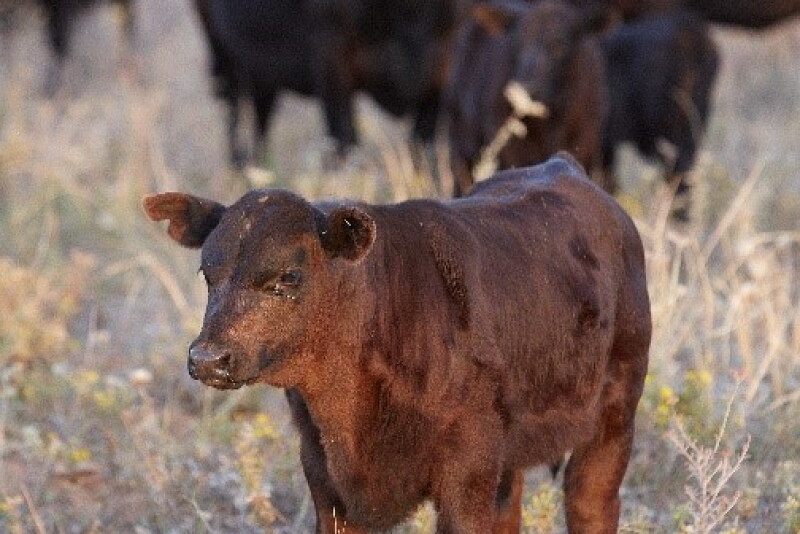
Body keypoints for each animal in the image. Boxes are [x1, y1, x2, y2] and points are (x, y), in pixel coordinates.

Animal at [143, 153, 652, 534]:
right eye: (207, 273)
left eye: (288, 277)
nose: (208, 358)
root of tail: (563, 166)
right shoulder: (326, 480)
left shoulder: (467, 473)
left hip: (614, 418)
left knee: (592, 503)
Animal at [193, 0, 462, 169]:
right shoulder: (331, 54)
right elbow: (345, 142)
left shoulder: (443, 68)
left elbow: (423, 151)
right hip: (220, 50)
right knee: (233, 112)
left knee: (261, 117)